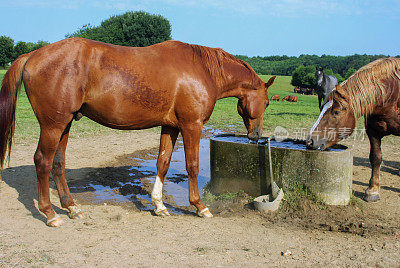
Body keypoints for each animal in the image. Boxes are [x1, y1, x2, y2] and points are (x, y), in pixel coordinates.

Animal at [0, 37, 276, 226]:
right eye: (266, 102)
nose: (256, 136)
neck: (202, 70)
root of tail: (33, 55)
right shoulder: (192, 126)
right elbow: (193, 165)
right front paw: (199, 206)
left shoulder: (171, 126)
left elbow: (163, 162)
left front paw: (159, 205)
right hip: (52, 125)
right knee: (43, 161)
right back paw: (49, 213)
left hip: (64, 124)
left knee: (58, 163)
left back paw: (71, 207)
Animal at [306, 57, 400, 202]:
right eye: (321, 108)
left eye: (337, 112)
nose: (310, 141)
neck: (391, 94)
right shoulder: (373, 131)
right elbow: (376, 157)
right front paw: (372, 190)